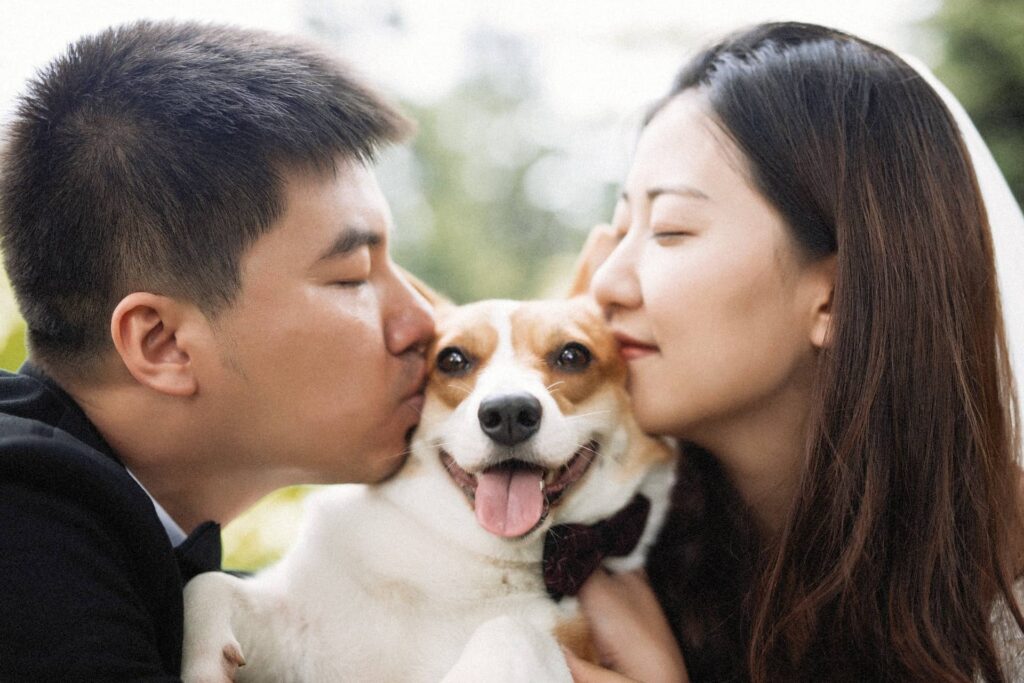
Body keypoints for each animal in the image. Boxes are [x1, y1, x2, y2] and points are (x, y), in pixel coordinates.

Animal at [182, 294, 679, 683]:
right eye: (452, 359)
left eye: (573, 356)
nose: (509, 412)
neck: (467, 554)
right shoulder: (296, 625)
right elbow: (208, 586)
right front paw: (201, 661)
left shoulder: (562, 638)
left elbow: (509, 632)